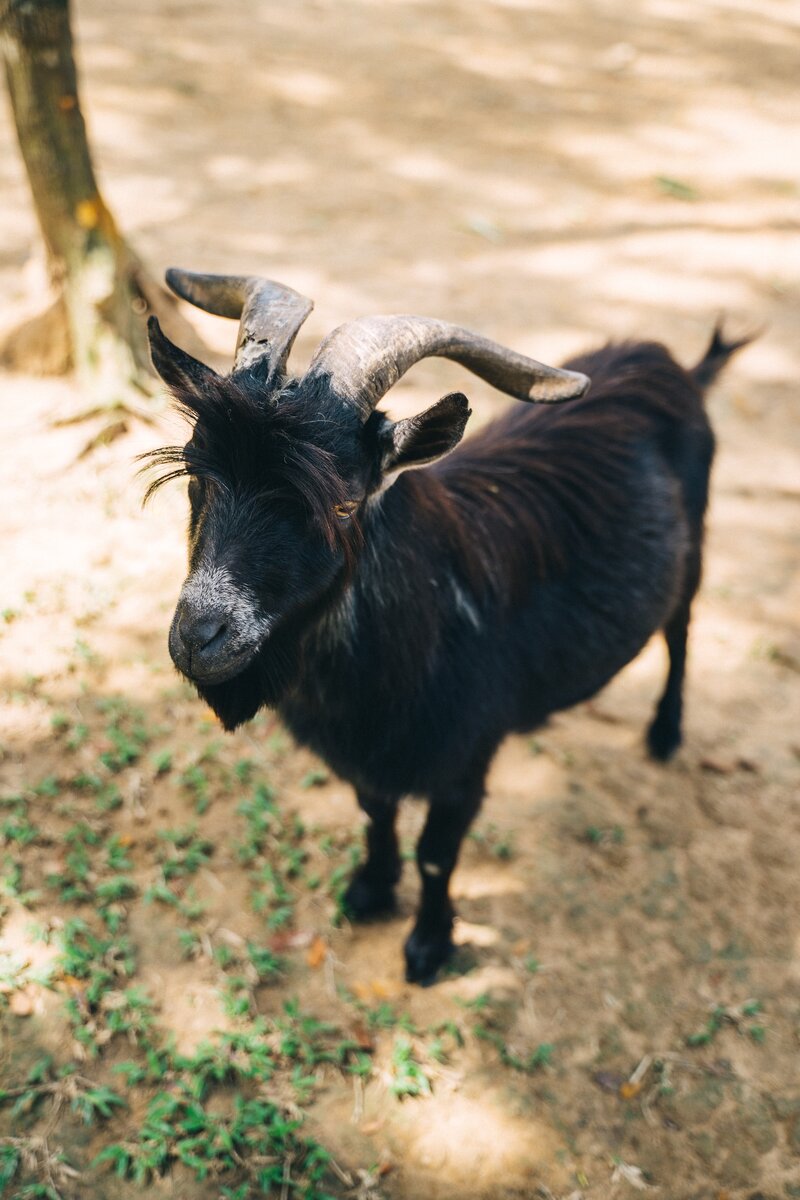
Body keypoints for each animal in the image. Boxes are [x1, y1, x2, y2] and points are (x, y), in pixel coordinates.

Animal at [145, 274, 753, 984]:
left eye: (345, 504)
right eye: (194, 471)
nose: (198, 637)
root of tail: (672, 365)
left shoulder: (466, 756)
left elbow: (438, 854)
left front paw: (429, 945)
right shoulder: (364, 753)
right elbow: (374, 811)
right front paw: (371, 889)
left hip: (695, 549)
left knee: (681, 628)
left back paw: (665, 732)